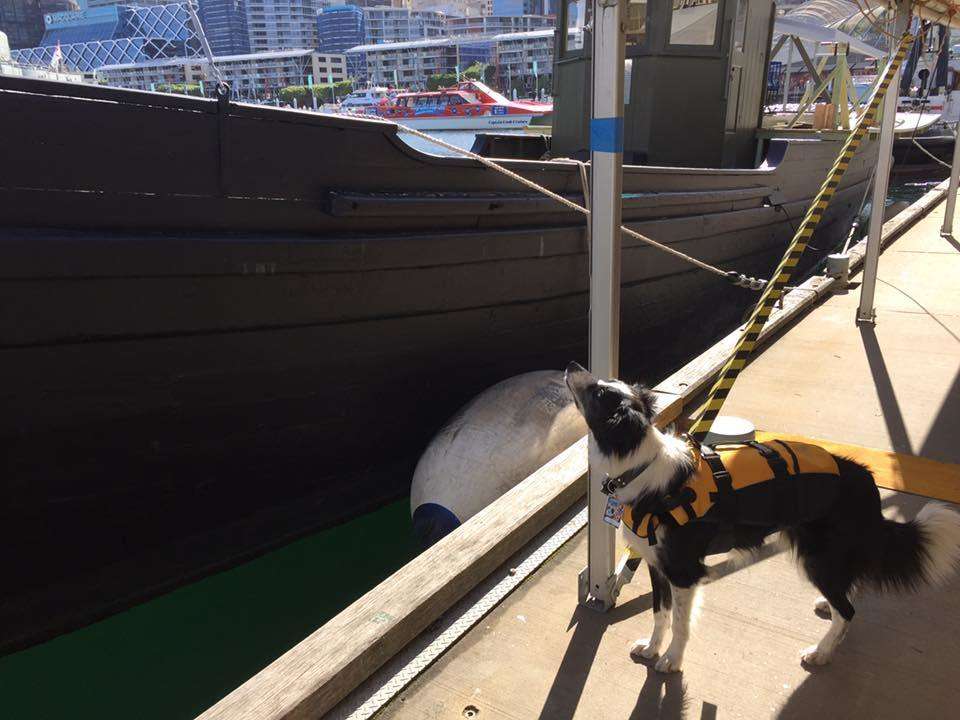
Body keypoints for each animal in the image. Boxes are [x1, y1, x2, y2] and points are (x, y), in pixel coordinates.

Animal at [568, 362, 960, 672]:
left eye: (598, 392)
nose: (572, 366)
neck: (640, 466)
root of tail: (863, 477)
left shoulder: (684, 571)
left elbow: (680, 623)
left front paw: (671, 661)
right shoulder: (655, 564)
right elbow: (659, 614)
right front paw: (652, 649)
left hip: (817, 557)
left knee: (848, 612)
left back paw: (821, 652)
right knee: (848, 593)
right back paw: (828, 608)